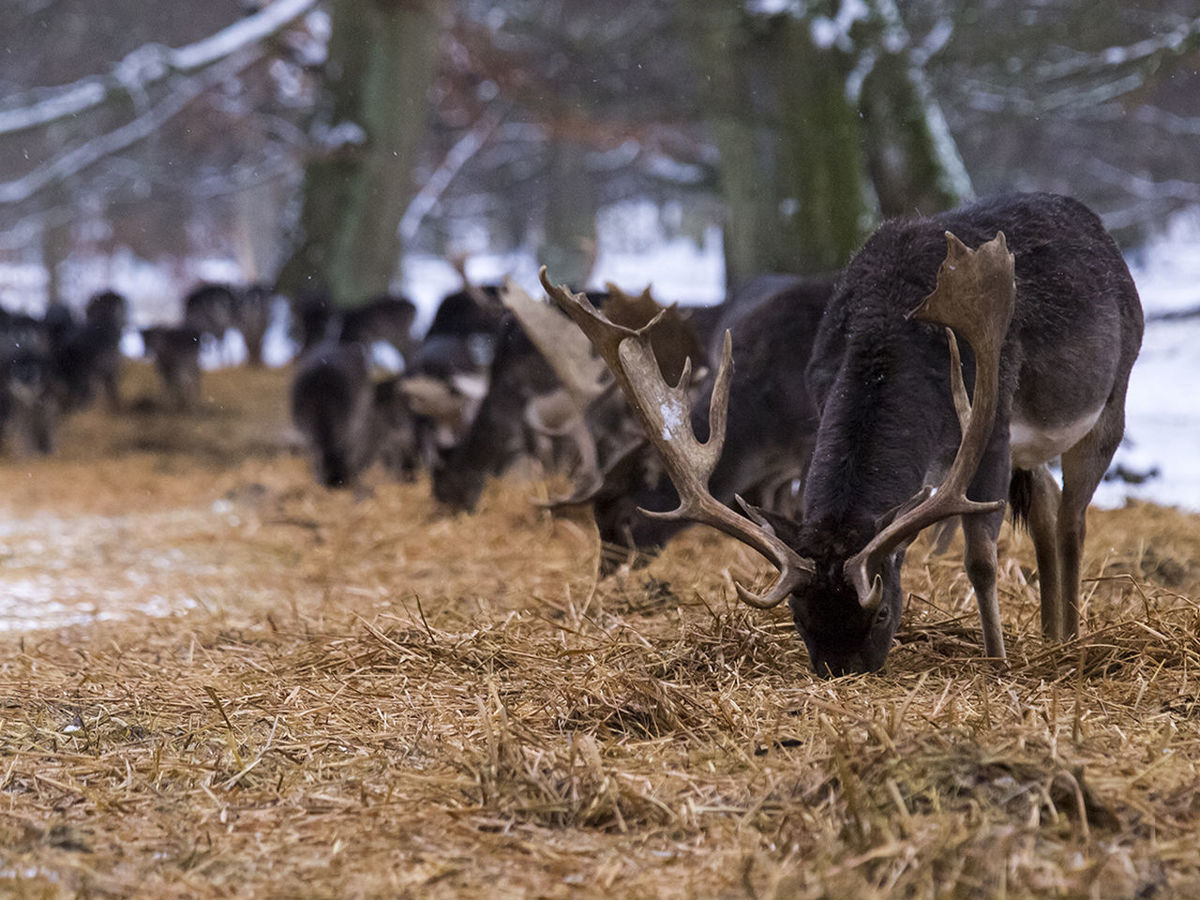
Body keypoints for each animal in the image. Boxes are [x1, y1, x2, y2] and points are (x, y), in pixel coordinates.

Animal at [544, 192, 1142, 676]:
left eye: (881, 613)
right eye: (799, 615)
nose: (843, 671)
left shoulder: (989, 429)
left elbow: (981, 559)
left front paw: (996, 661)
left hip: (1111, 398)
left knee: (1073, 517)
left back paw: (1070, 638)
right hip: (1032, 449)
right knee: (1046, 502)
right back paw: (1050, 634)